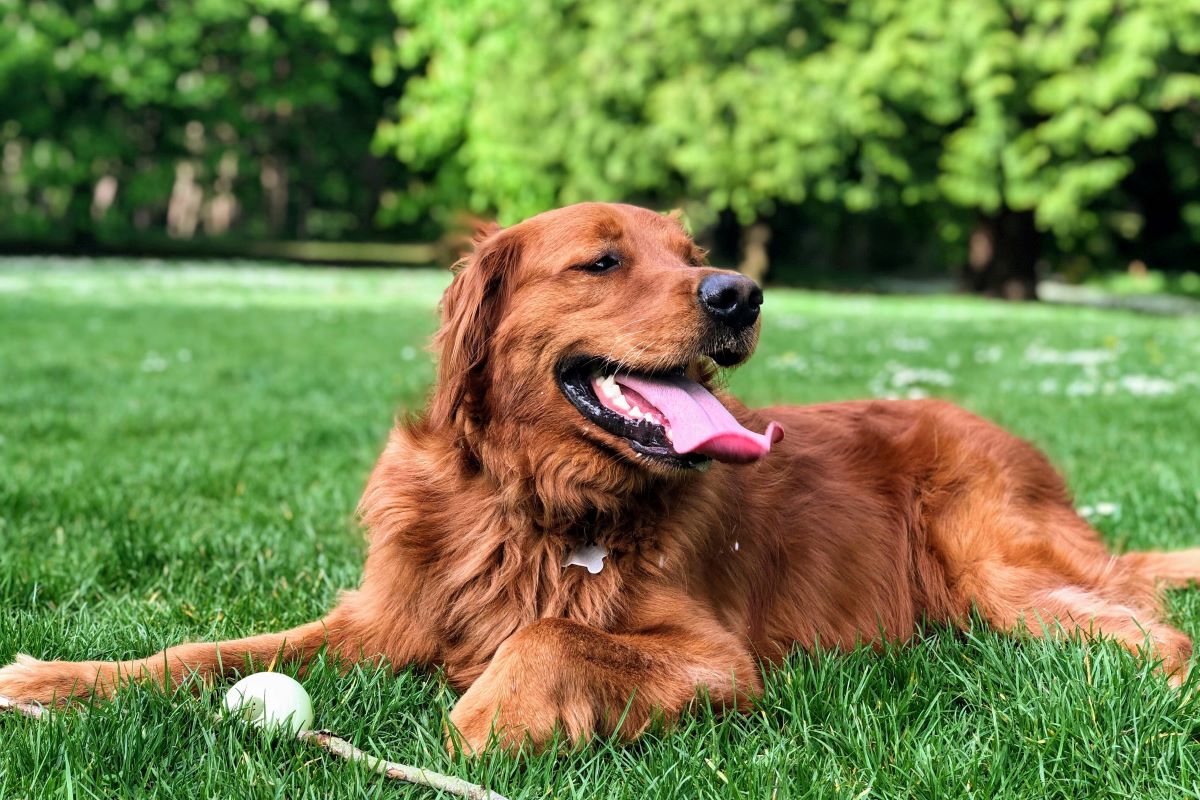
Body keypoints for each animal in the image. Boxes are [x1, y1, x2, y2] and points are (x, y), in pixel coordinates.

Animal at [2, 203, 1200, 753]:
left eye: (693, 252)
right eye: (604, 258)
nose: (739, 292)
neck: (530, 500)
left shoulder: (719, 660)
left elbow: (547, 633)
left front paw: (486, 718)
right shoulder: (381, 618)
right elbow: (202, 650)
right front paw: (57, 677)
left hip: (998, 569)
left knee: (1155, 632)